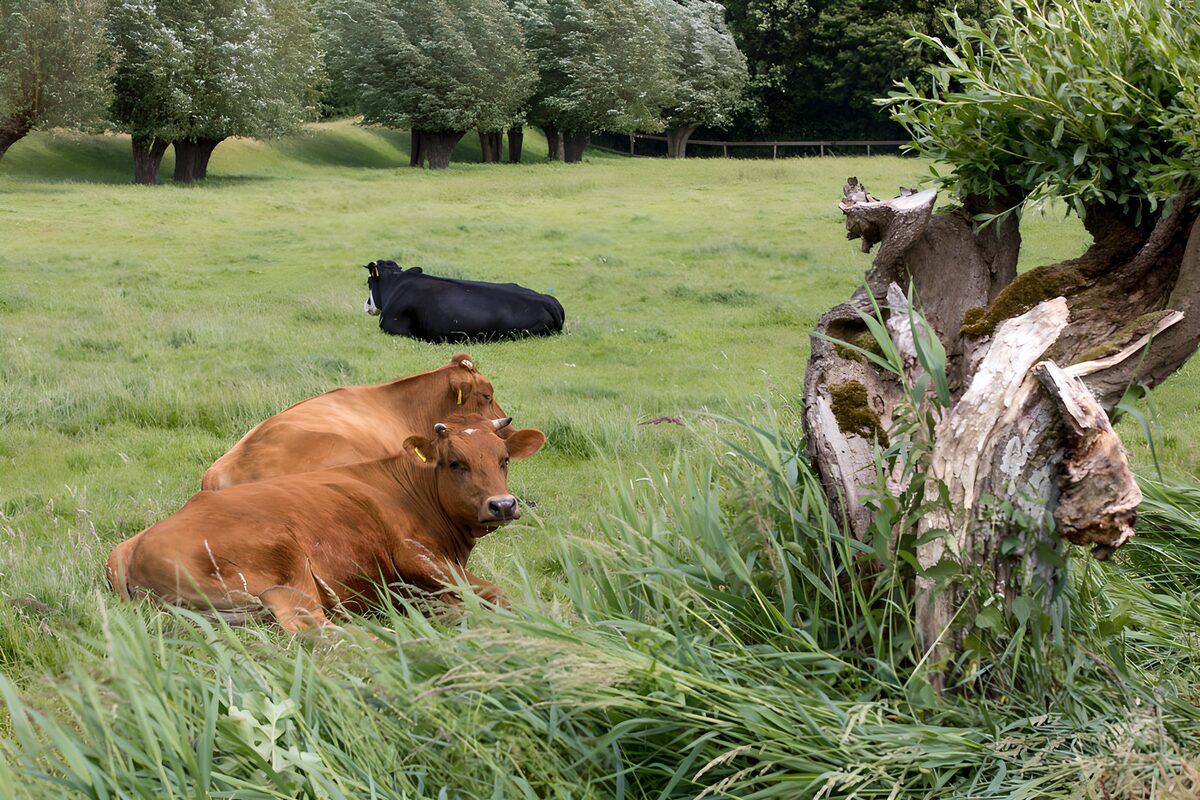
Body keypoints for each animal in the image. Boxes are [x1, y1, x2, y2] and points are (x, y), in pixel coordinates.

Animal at [107, 414, 546, 629]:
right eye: (455, 462)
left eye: (504, 459)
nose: (502, 505)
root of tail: (133, 546)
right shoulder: (415, 555)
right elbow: (495, 594)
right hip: (286, 571)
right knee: (315, 628)